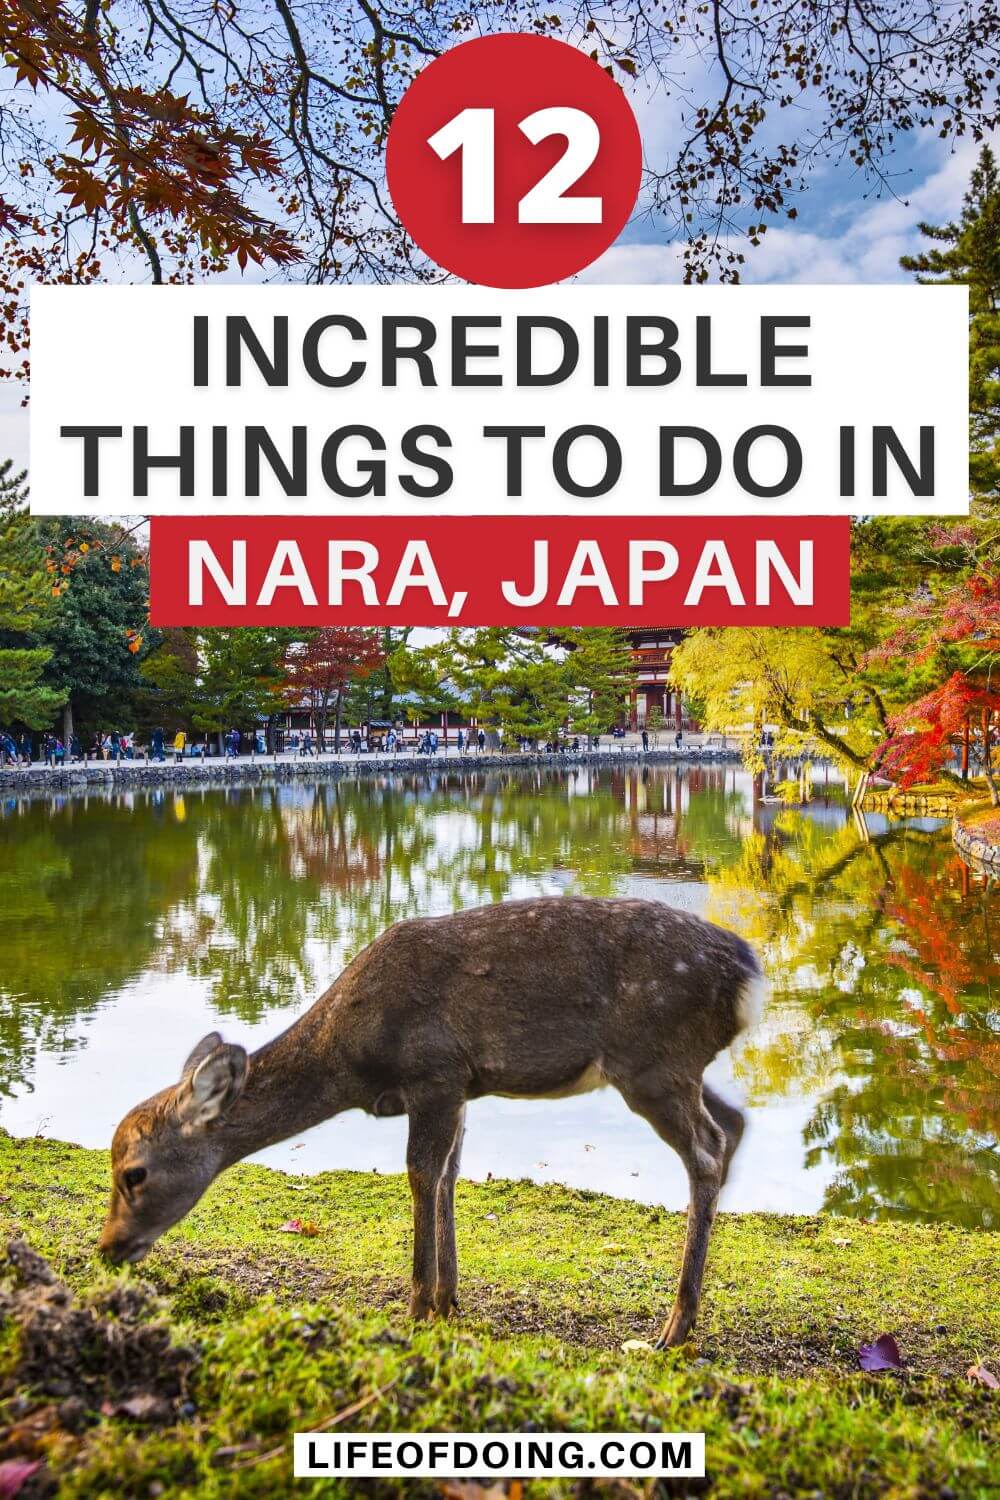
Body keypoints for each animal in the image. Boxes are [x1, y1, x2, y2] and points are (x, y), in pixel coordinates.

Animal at [101, 894, 761, 1344]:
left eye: (134, 1172)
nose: (108, 1248)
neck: (351, 1057)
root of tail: (749, 974)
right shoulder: (460, 1086)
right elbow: (448, 1174)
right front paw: (448, 1300)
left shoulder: (434, 1072)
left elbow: (422, 1172)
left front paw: (418, 1305)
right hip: (674, 1066)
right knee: (733, 1123)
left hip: (652, 1058)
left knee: (706, 1148)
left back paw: (674, 1327)